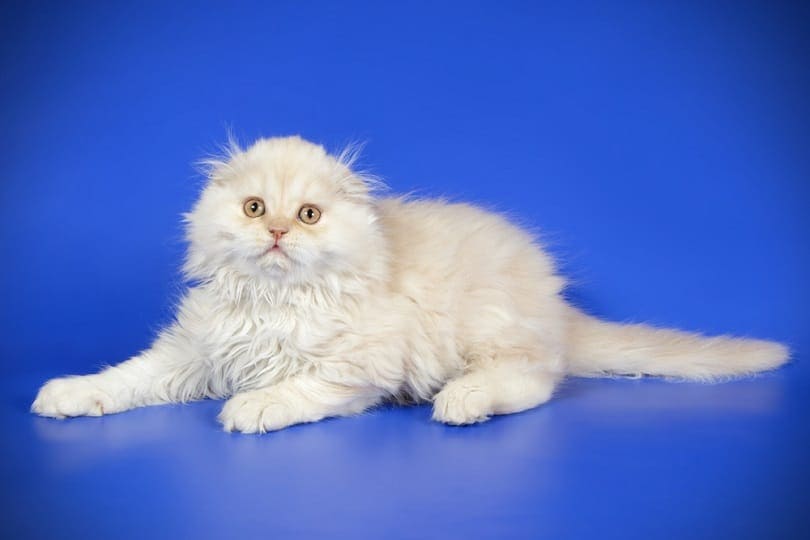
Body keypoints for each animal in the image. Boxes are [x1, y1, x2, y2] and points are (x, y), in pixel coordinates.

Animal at [33, 137, 788, 432]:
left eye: (308, 215)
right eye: (254, 208)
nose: (275, 232)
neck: (275, 302)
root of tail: (556, 300)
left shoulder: (358, 366)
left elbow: (297, 387)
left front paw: (253, 406)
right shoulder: (194, 351)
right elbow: (128, 377)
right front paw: (69, 394)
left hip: (488, 330)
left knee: (536, 380)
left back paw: (463, 401)